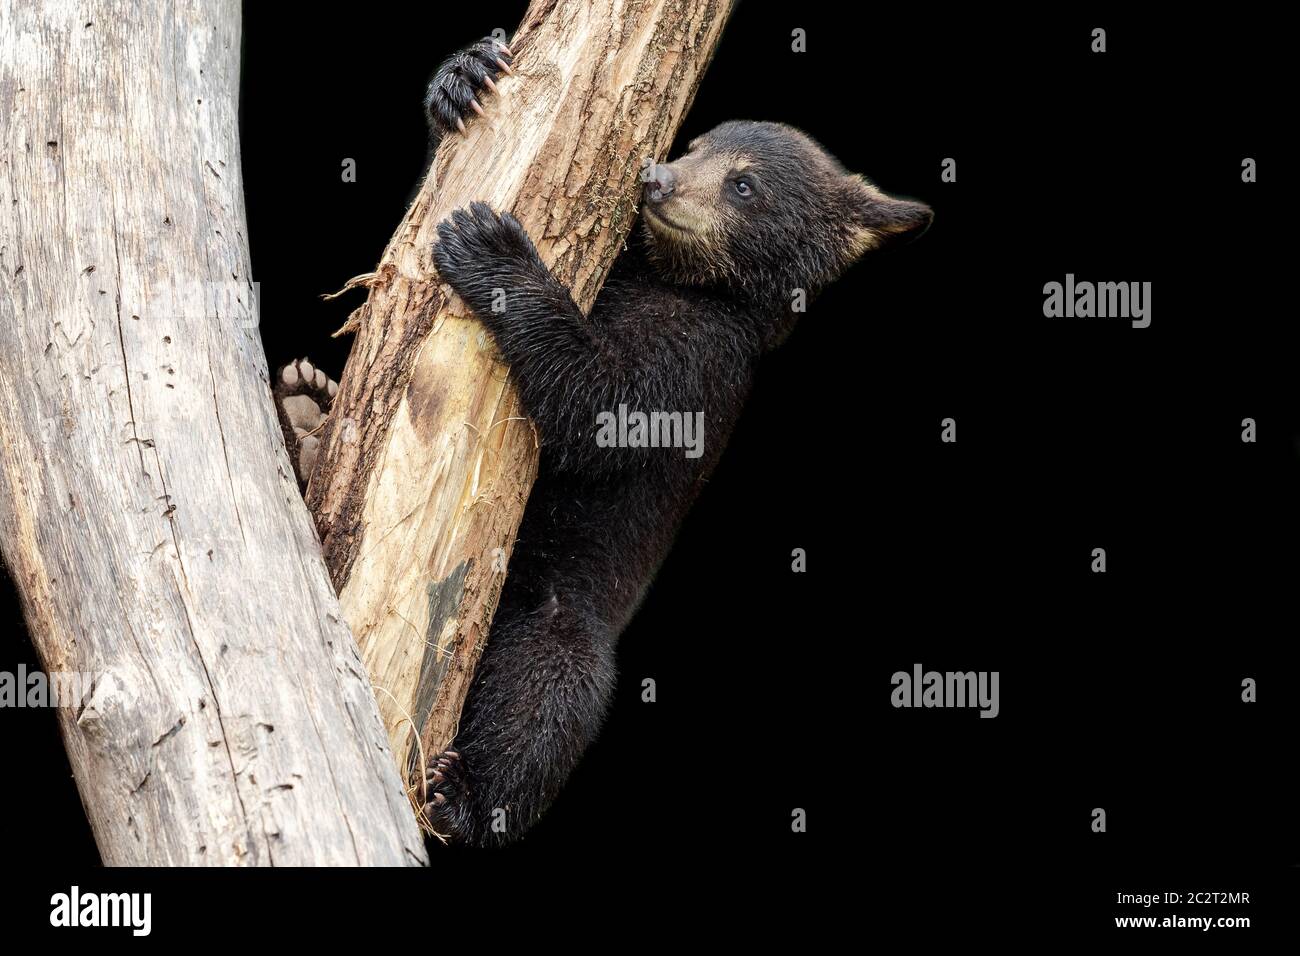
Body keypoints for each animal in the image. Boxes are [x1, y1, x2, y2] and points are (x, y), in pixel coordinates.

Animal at [277, 35, 930, 847]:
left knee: (552, 686)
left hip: (556, 611)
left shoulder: (700, 364)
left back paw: (465, 798)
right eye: (696, 141)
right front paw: (465, 77)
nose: (657, 177)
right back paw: (304, 411)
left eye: (744, 185)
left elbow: (600, 408)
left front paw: (491, 248)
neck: (672, 283)